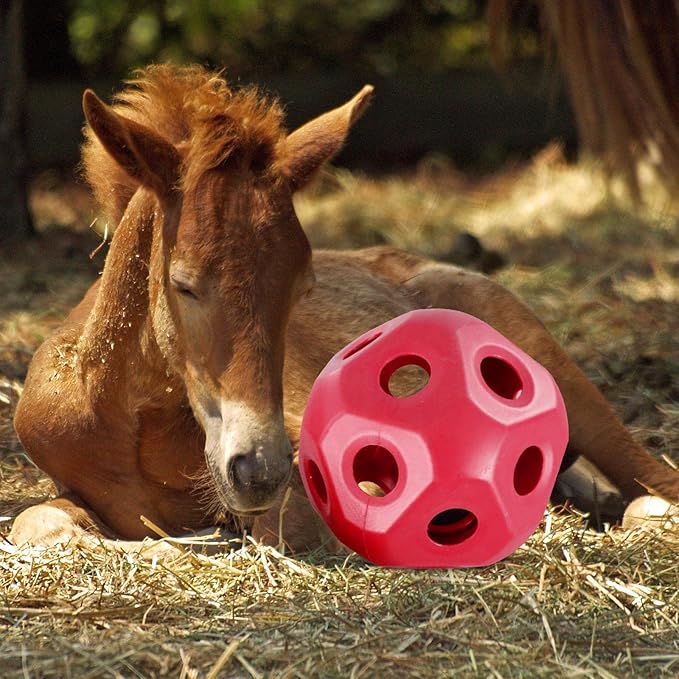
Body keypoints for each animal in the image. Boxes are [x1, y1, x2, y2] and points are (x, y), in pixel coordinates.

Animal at [10, 65, 679, 553]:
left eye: (301, 285)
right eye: (185, 284)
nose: (259, 469)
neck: (130, 422)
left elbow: (283, 528)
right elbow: (37, 524)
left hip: (565, 380)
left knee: (654, 484)